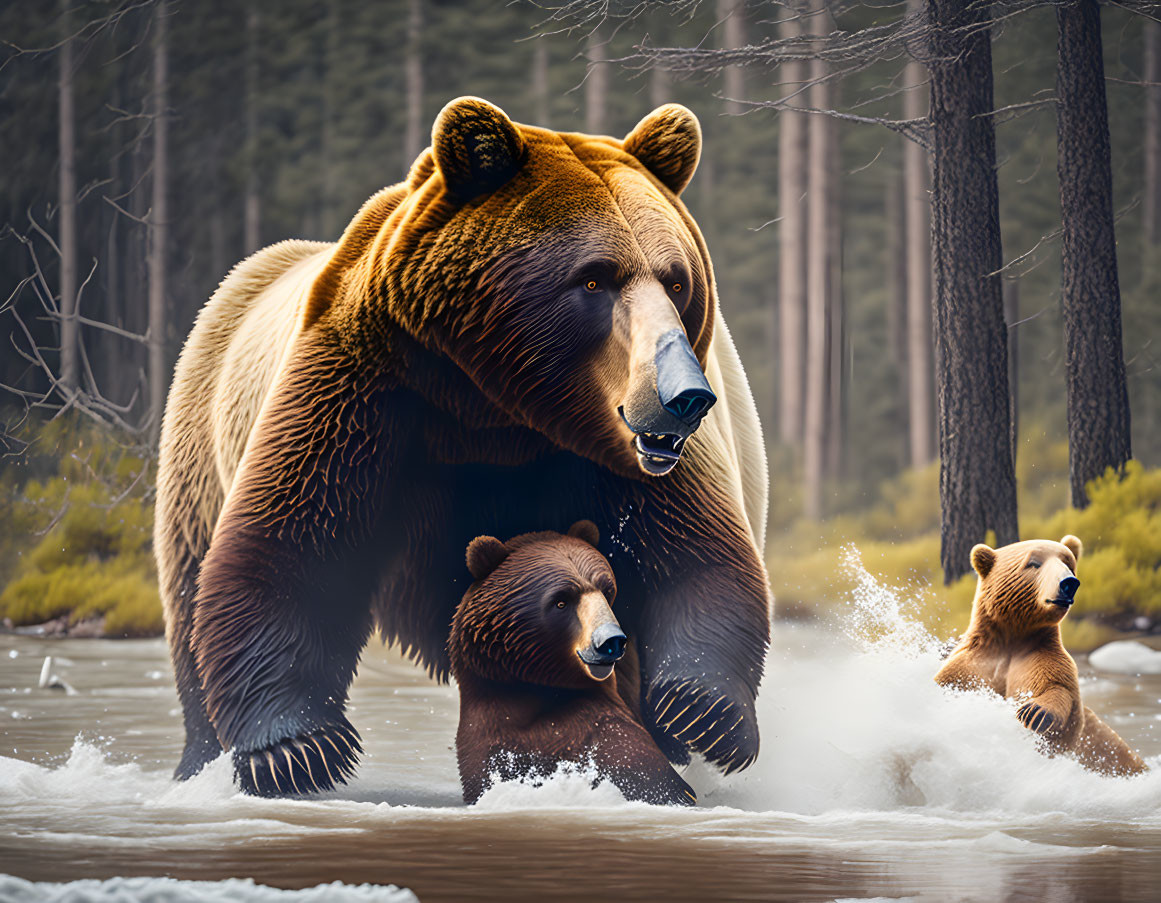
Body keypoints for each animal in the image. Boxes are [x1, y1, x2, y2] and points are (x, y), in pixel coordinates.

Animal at [933, 533, 1142, 775]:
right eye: (1034, 563)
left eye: (1068, 562)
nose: (1069, 583)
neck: (1012, 638)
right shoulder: (975, 662)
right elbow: (952, 681)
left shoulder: (1041, 656)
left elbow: (1059, 689)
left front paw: (1034, 712)